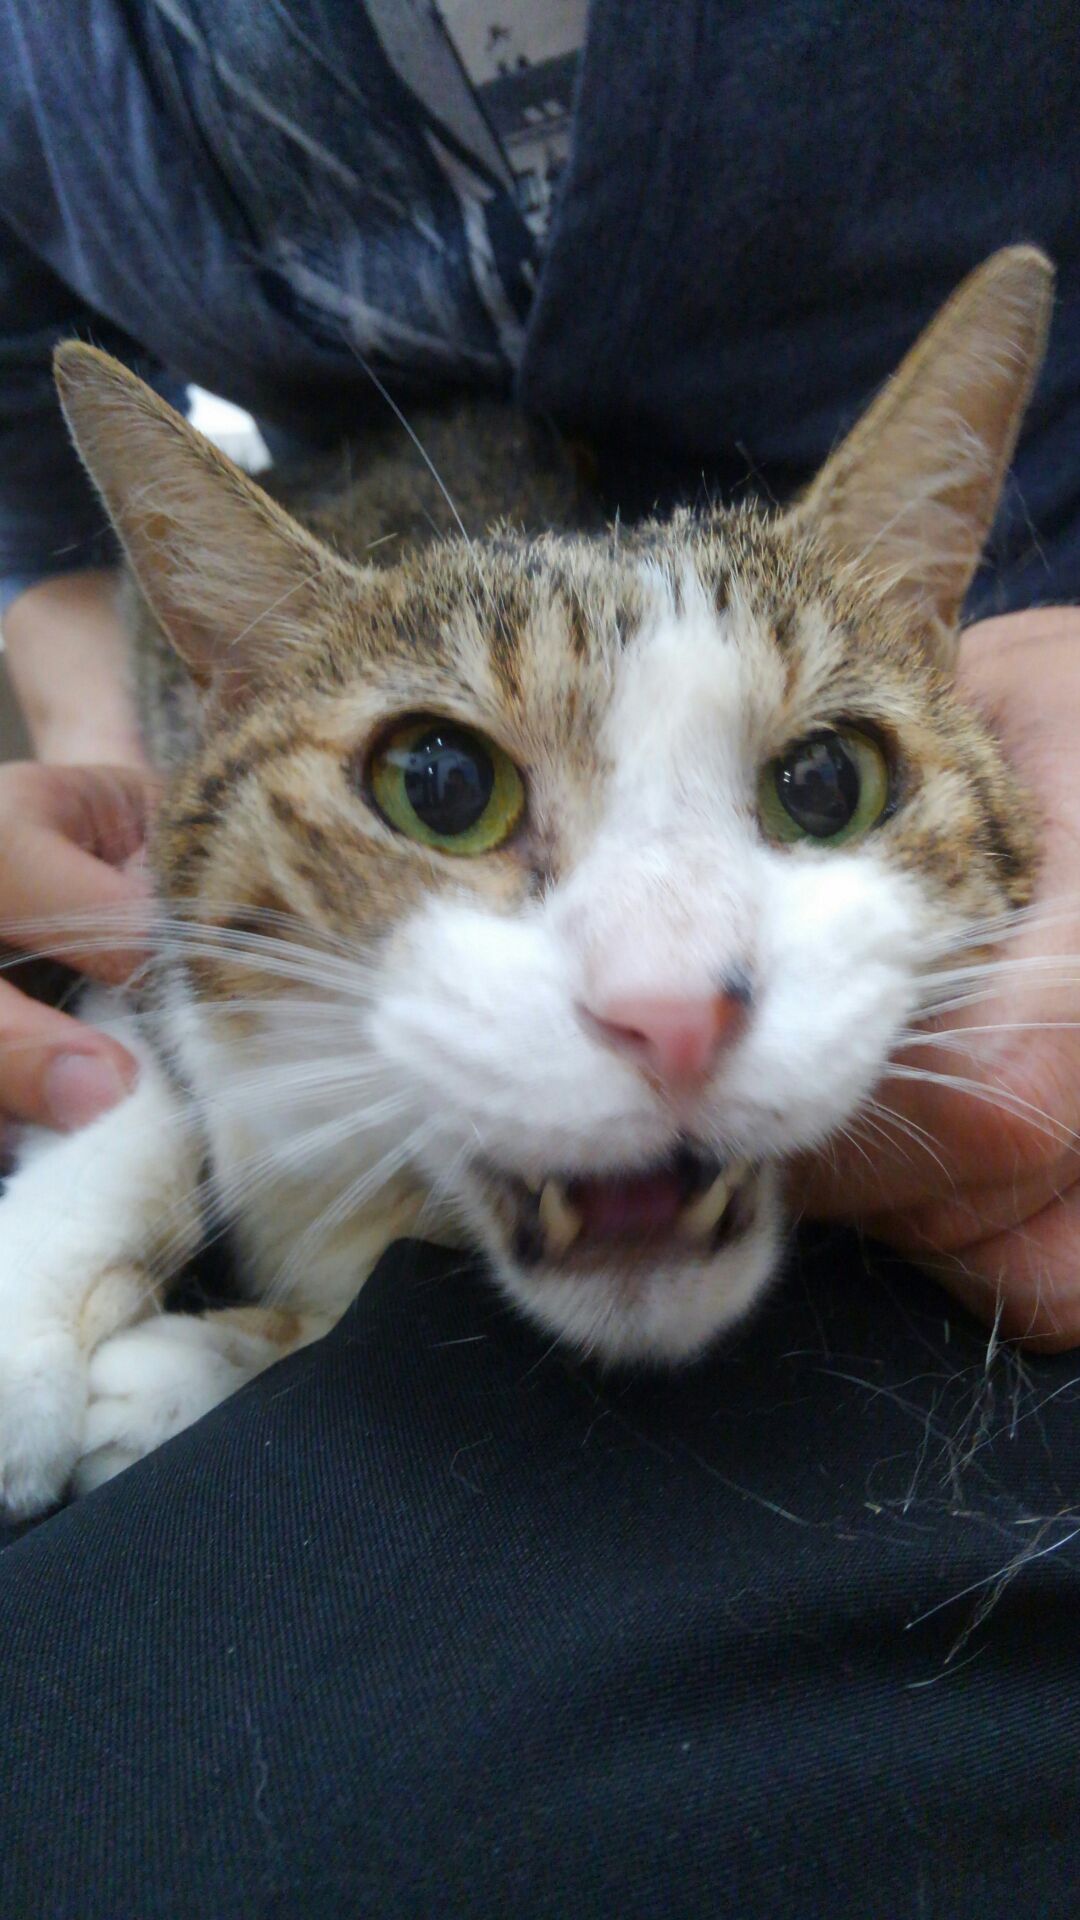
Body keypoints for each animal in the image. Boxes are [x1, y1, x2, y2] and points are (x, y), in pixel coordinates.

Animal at [0, 246, 1052, 1519]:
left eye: (826, 783)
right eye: (443, 786)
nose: (671, 1014)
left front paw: (186, 1368)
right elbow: (133, 1068)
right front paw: (26, 1336)